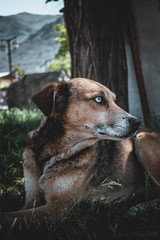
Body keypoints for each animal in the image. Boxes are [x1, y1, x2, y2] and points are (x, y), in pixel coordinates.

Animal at [0, 79, 160, 225]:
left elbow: (8, 216)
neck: (51, 150)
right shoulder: (31, 200)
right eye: (99, 99)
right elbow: (16, 213)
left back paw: (138, 208)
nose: (137, 122)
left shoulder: (58, 207)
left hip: (142, 140)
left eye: (115, 101)